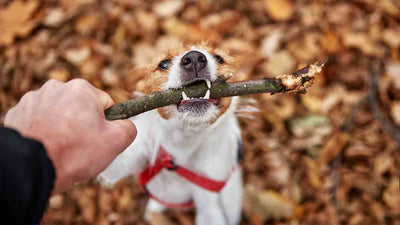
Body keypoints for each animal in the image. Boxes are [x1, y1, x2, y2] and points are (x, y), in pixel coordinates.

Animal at [99, 43, 244, 224]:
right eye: (163, 64)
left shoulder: (209, 201)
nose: (194, 58)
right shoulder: (129, 157)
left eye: (219, 58)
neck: (184, 141)